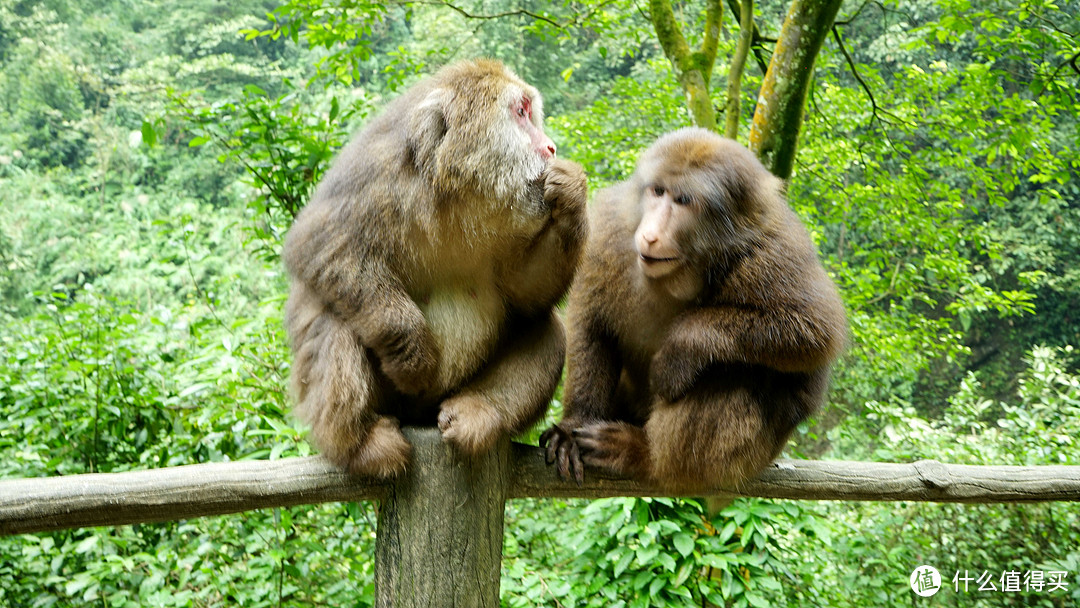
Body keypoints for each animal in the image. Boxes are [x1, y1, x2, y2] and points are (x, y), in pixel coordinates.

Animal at [282, 59, 587, 477]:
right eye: (521, 113)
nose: (550, 146)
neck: (457, 196)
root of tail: (420, 415)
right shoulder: (379, 173)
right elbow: (322, 245)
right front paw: (414, 357)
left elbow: (526, 293)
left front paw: (572, 194)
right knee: (335, 320)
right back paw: (359, 444)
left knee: (544, 326)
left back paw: (479, 412)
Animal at [540, 128, 842, 494]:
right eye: (658, 191)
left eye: (683, 201)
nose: (651, 234)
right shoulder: (611, 232)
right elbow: (593, 323)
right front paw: (573, 426)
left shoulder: (773, 252)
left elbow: (815, 329)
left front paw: (681, 347)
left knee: (738, 374)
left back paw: (646, 455)